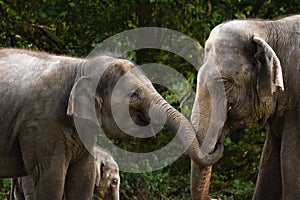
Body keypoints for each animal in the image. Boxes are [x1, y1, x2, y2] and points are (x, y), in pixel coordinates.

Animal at [0, 48, 220, 200]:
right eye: (134, 96)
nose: (219, 144)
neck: (81, 67)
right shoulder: (42, 125)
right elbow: (51, 178)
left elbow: (83, 178)